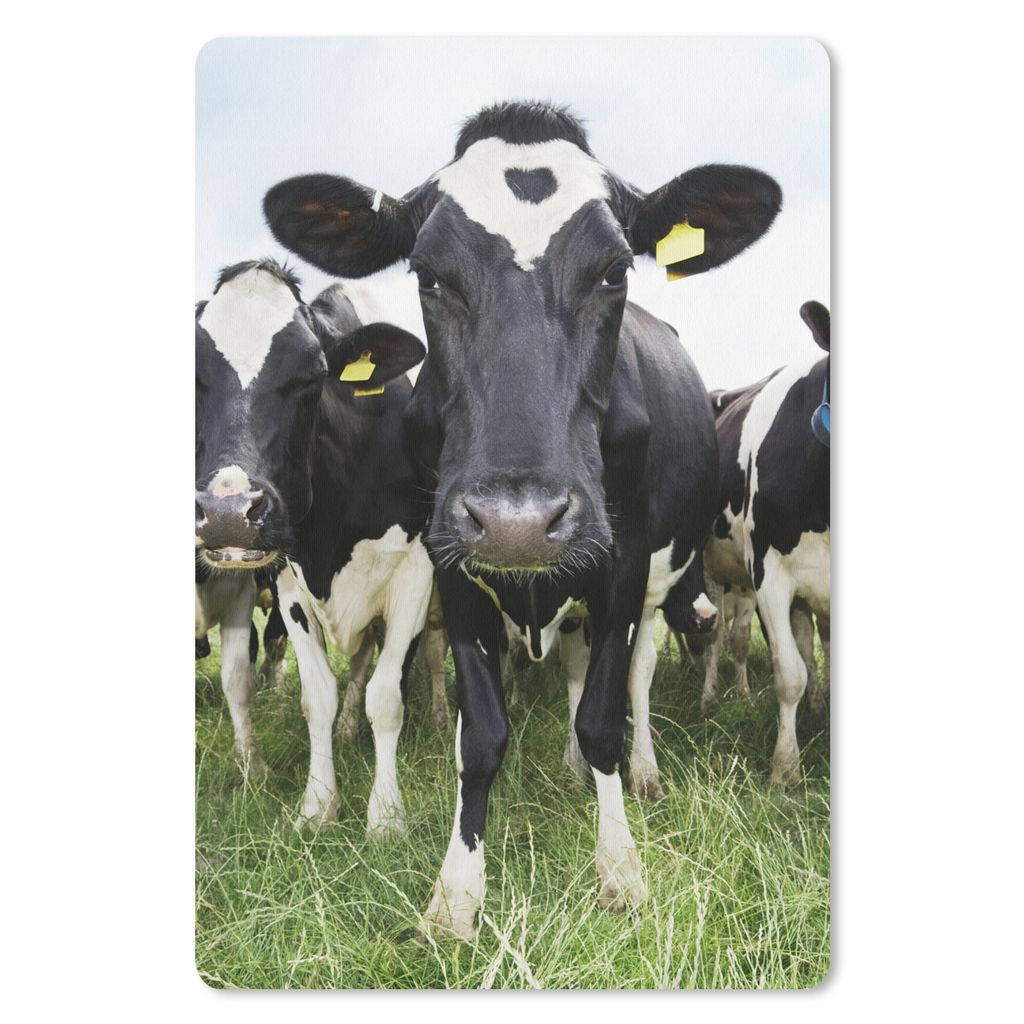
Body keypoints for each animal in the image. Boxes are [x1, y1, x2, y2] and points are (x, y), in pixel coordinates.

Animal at [195, 258, 439, 835]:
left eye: (311, 376)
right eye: (193, 375)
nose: (227, 516)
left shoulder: (415, 575)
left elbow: (386, 696)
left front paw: (386, 815)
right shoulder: (289, 583)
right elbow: (319, 696)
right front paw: (318, 804)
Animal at [263, 101, 781, 939]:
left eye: (614, 271)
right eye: (429, 275)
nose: (518, 522)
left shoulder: (622, 564)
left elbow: (602, 717)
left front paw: (620, 869)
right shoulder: (451, 564)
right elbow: (480, 733)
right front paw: (456, 895)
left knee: (631, 678)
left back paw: (635, 774)